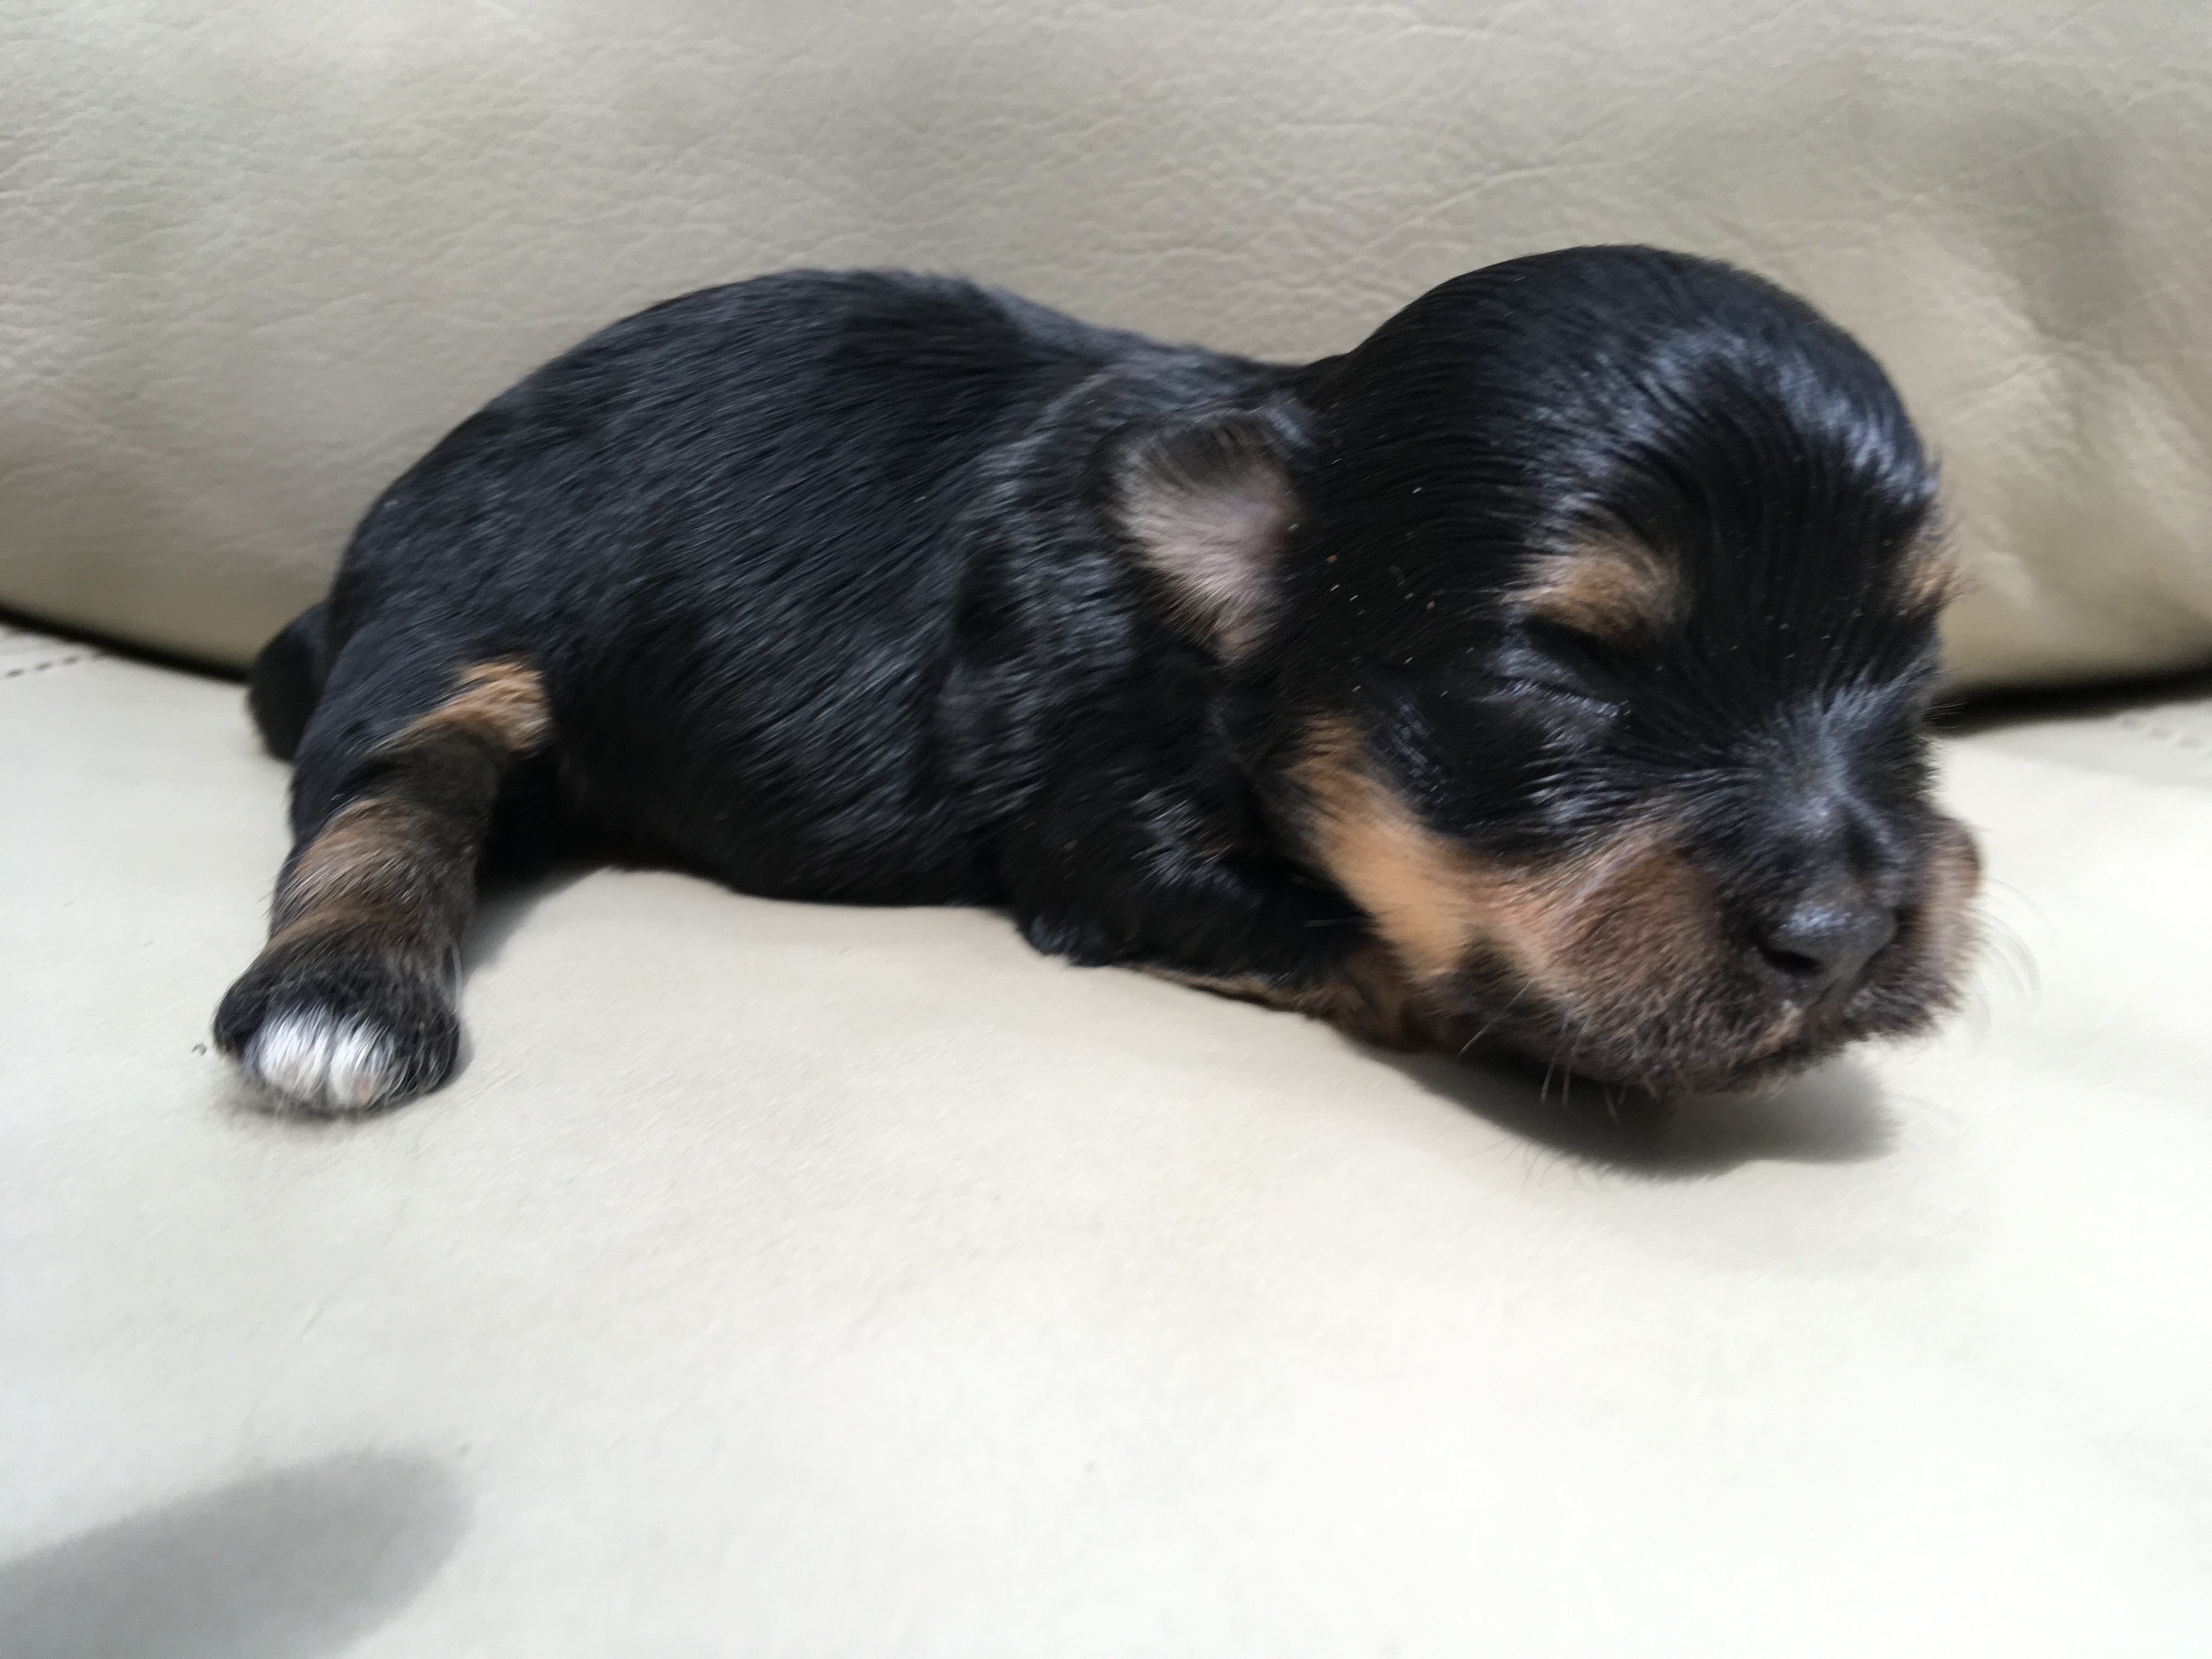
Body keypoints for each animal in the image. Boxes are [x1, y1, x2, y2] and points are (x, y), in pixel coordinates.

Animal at [214, 246, 1980, 1115]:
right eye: (1559, 673)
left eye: (1913, 669)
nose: (1846, 938)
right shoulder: (1102, 836)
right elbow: (1360, 941)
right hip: (453, 616)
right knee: (386, 799)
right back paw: (340, 1000)